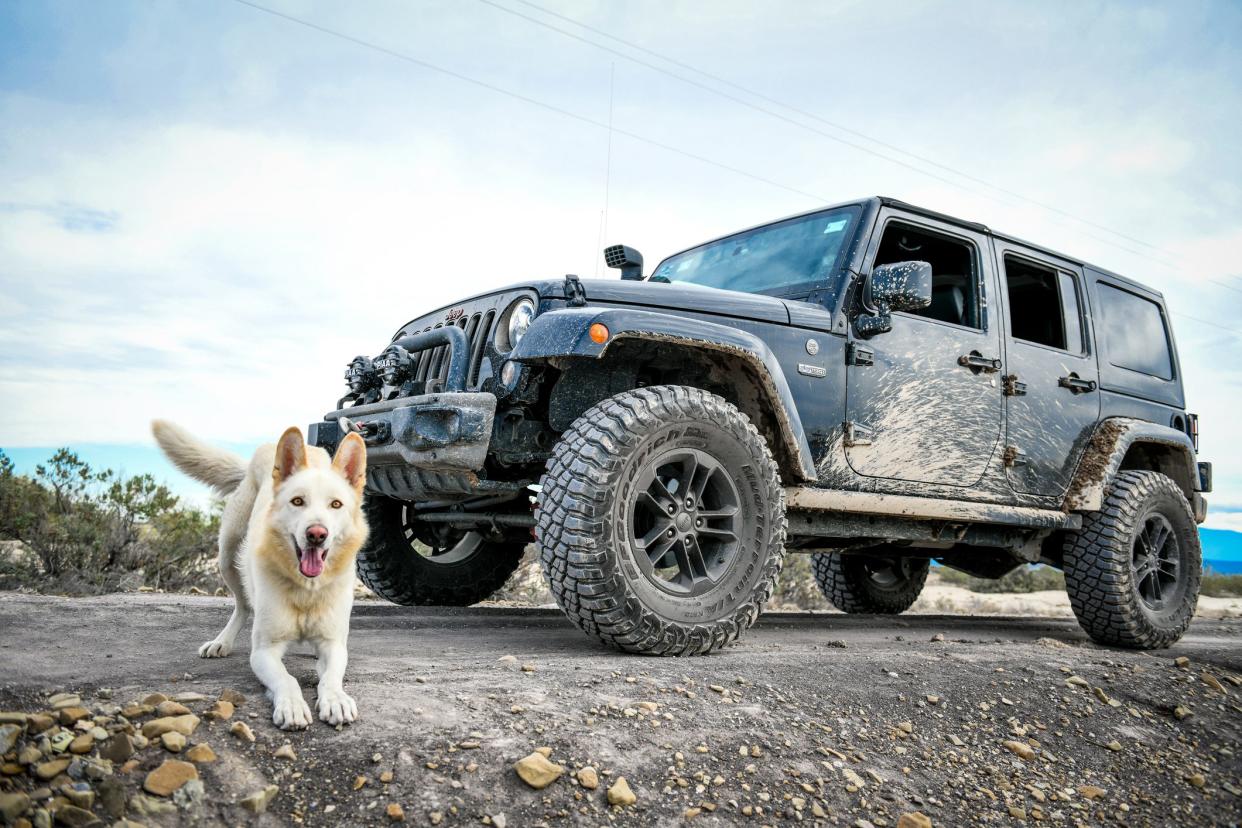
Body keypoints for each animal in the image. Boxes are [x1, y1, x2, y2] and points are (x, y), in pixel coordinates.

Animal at [148, 424, 365, 729]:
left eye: (336, 504)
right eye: (297, 501)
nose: (316, 534)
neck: (306, 589)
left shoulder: (334, 646)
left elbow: (331, 678)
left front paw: (336, 699)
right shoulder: (264, 652)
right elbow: (287, 679)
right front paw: (292, 706)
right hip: (227, 557)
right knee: (242, 605)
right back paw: (222, 641)